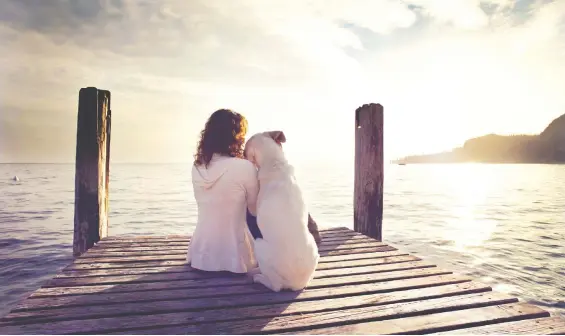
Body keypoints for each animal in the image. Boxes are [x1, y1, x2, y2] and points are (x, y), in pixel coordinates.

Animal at [245, 131, 320, 292]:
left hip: (259, 245)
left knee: (275, 286)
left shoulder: (254, 208)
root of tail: (295, 284)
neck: (275, 162)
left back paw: (259, 277)